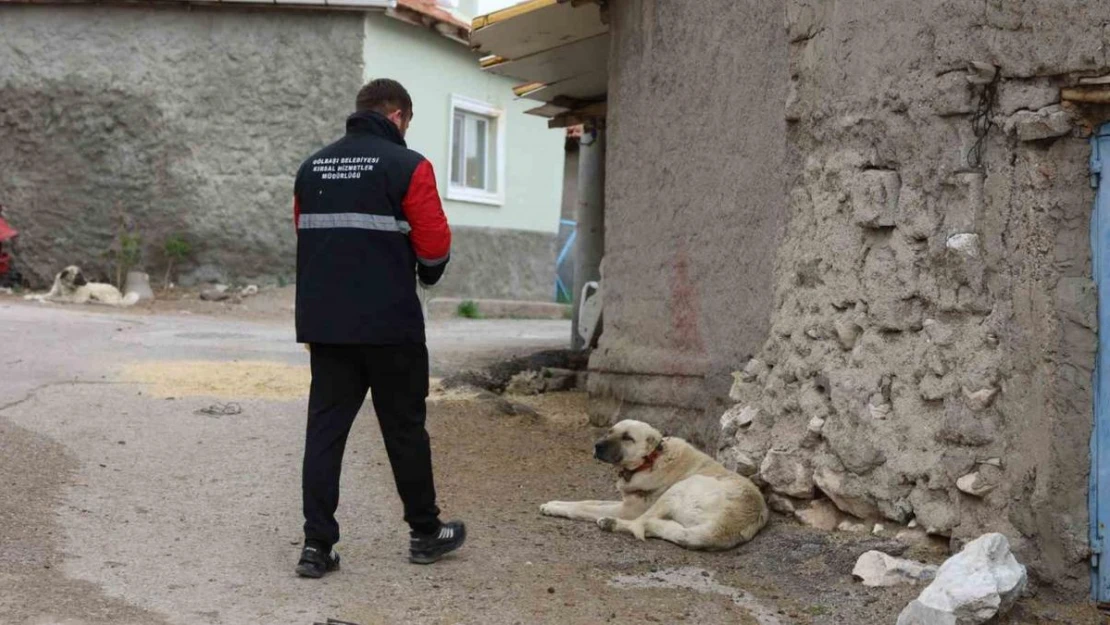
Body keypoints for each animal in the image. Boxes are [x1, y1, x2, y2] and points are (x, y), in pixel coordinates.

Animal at [539, 419, 768, 552]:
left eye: (628, 438)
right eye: (610, 431)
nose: (597, 446)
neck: (650, 459)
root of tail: (727, 525)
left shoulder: (627, 509)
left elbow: (584, 508)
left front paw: (555, 508)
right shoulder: (625, 501)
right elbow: (588, 500)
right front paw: (556, 503)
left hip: (680, 488)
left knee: (639, 524)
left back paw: (610, 523)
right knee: (657, 527)